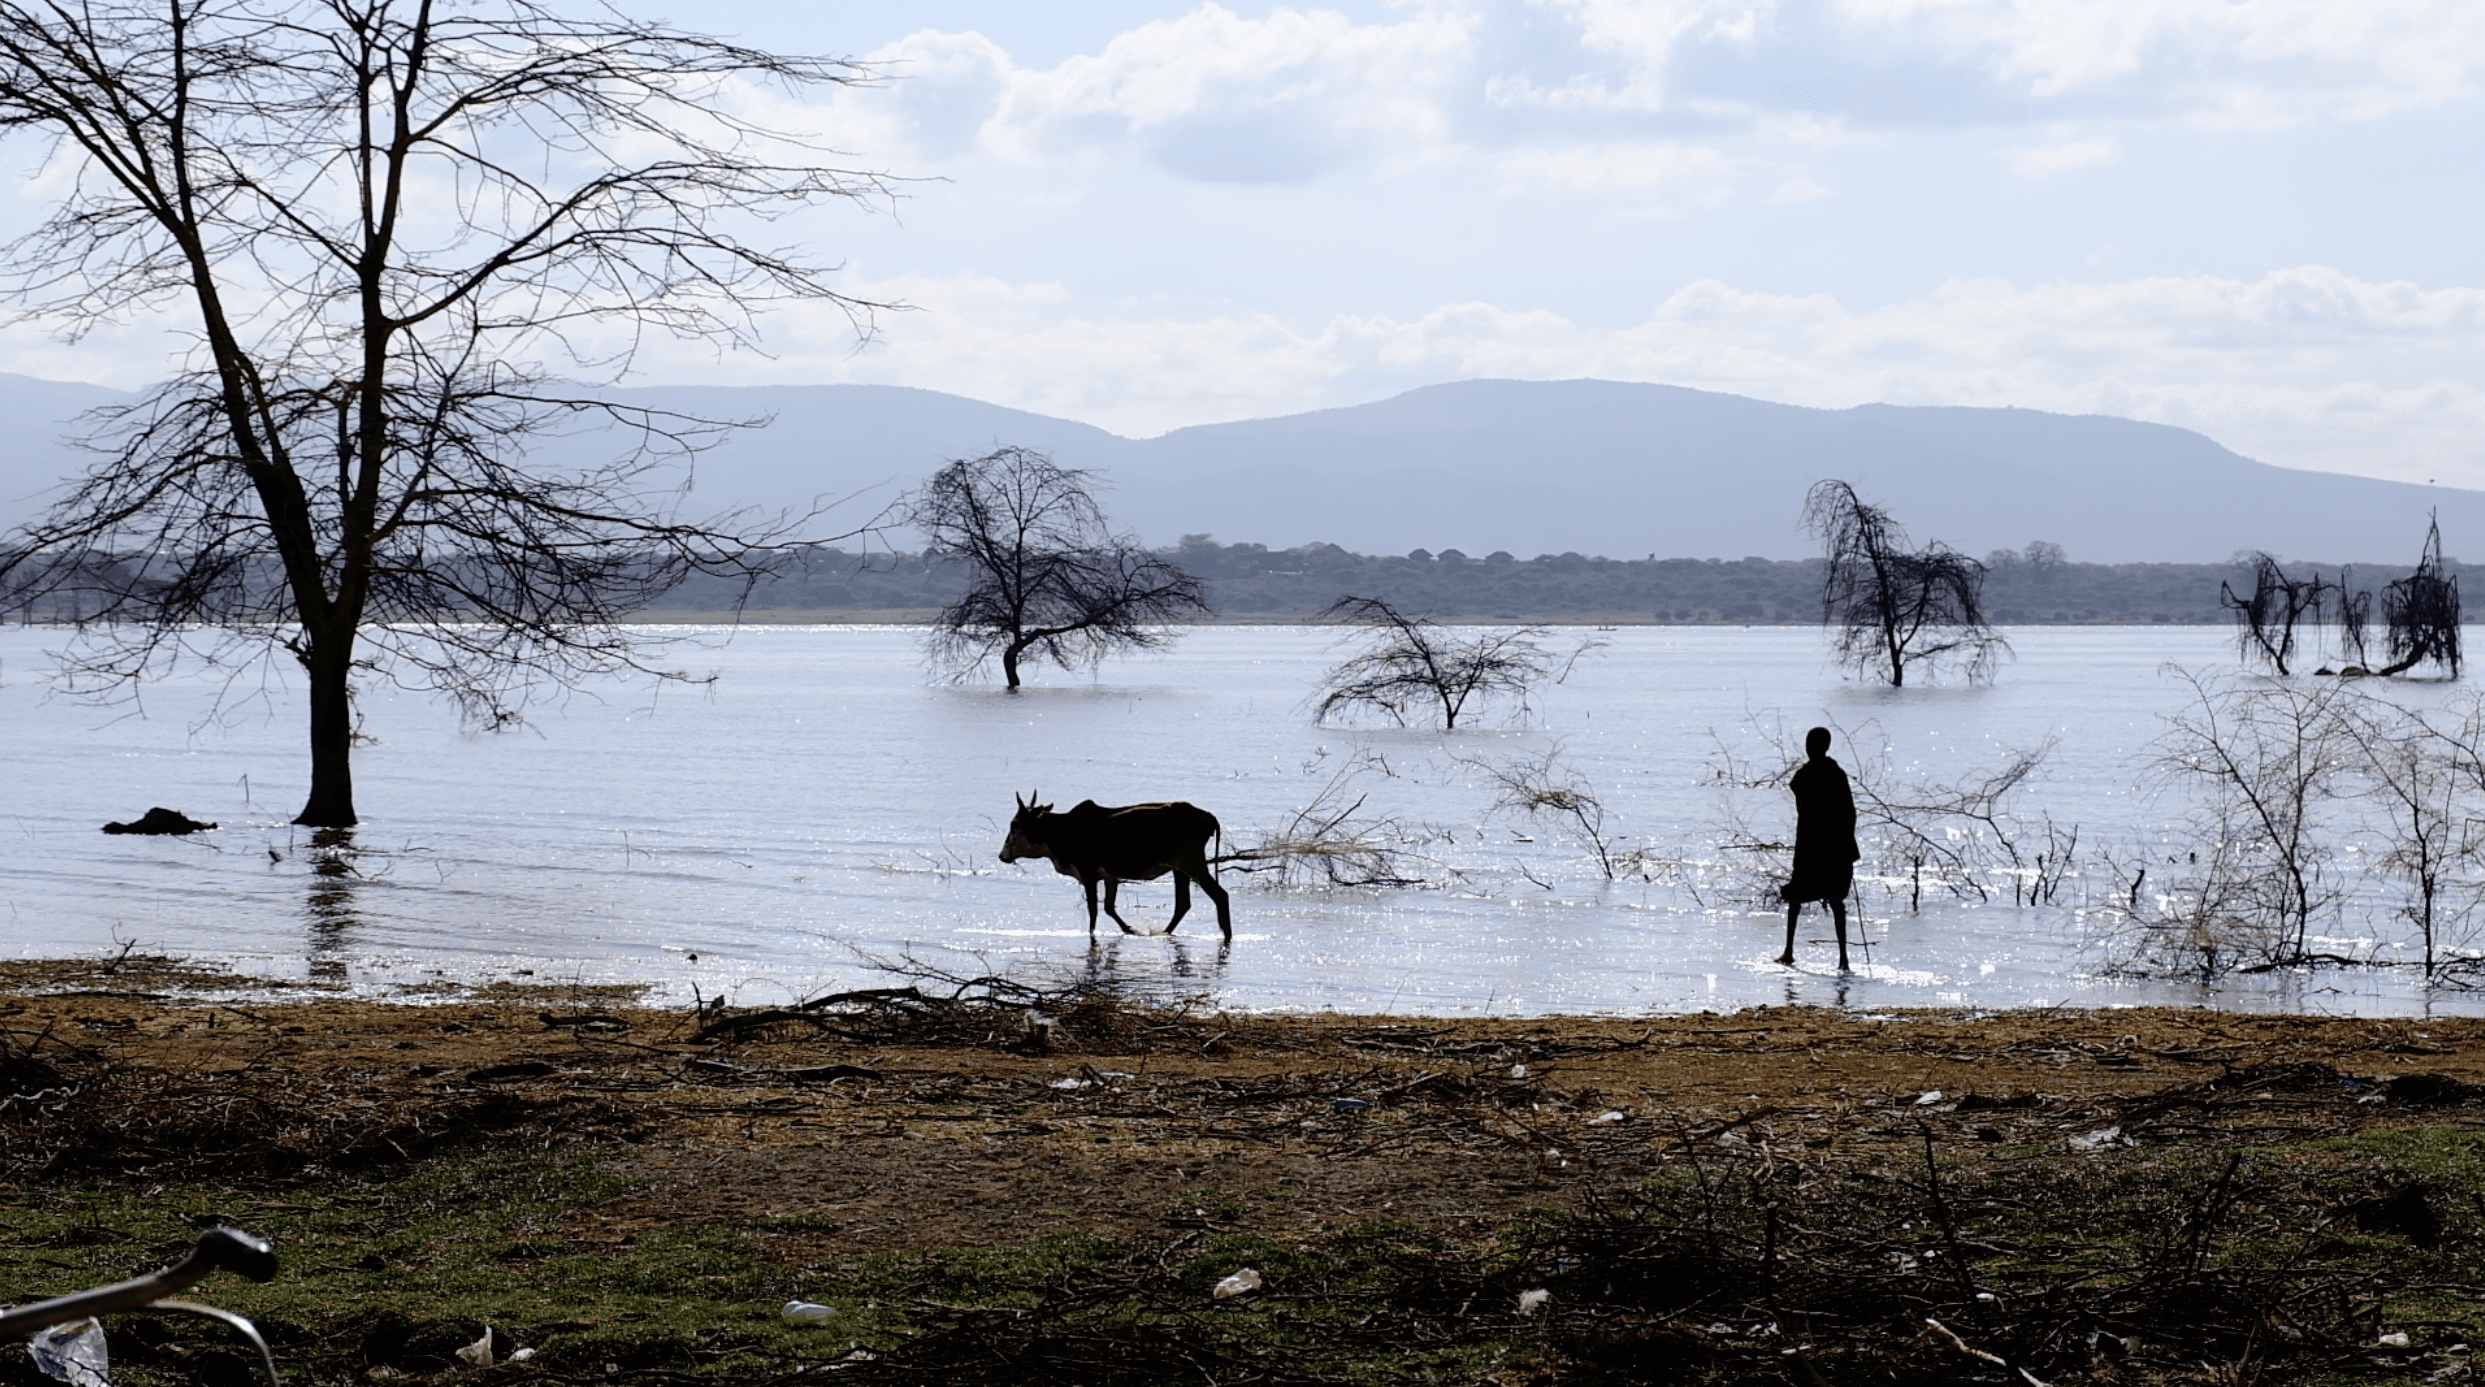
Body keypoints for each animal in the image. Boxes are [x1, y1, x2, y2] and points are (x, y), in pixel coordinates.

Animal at [998, 792, 1233, 942]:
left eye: (1015, 825)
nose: (1002, 856)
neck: (1061, 830)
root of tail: (1209, 817)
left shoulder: (1088, 874)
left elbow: (1094, 910)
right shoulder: (1110, 877)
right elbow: (1109, 908)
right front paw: (1130, 930)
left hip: (1191, 863)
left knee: (1219, 895)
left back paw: (1227, 933)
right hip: (1180, 869)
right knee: (1183, 904)